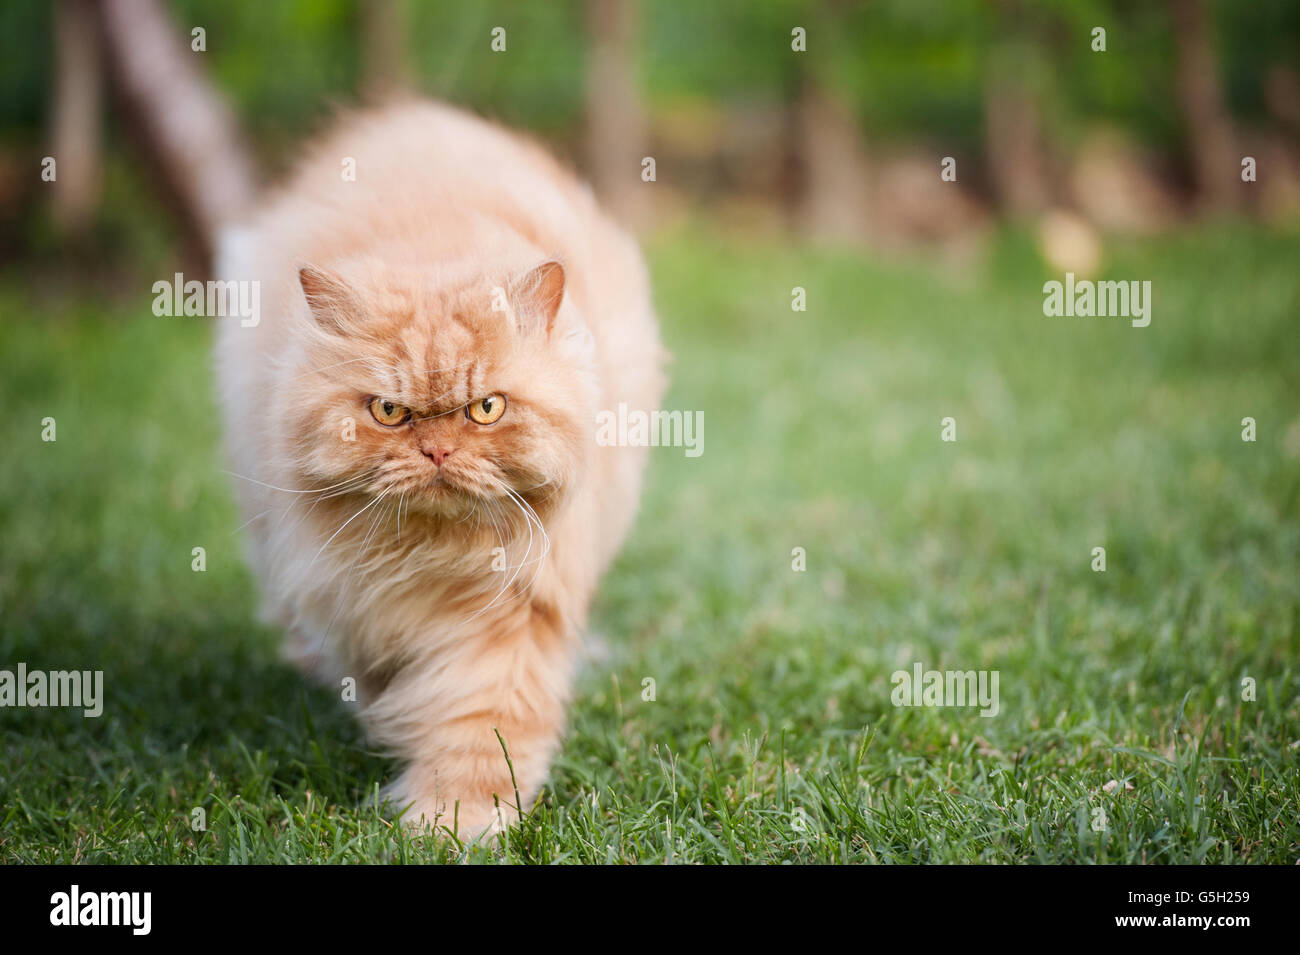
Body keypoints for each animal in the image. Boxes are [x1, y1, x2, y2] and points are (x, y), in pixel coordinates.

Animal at [214, 100, 665, 841]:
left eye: (486, 408)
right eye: (390, 411)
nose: (438, 453)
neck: (428, 557)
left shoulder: (513, 616)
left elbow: (480, 732)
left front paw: (455, 821)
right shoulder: (358, 601)